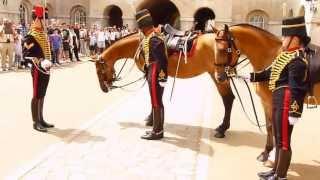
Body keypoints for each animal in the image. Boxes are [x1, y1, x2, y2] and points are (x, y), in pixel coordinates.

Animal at [92, 32, 235, 138]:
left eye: (99, 71)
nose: (104, 89)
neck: (139, 44)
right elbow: (158, 97)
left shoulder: (150, 73)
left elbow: (153, 97)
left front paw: (151, 120)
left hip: (217, 76)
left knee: (228, 98)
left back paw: (222, 129)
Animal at [212, 23, 320, 162]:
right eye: (214, 48)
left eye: (225, 49)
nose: (219, 77)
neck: (271, 57)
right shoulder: (265, 102)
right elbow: (269, 126)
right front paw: (266, 152)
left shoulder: (273, 102)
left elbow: (274, 127)